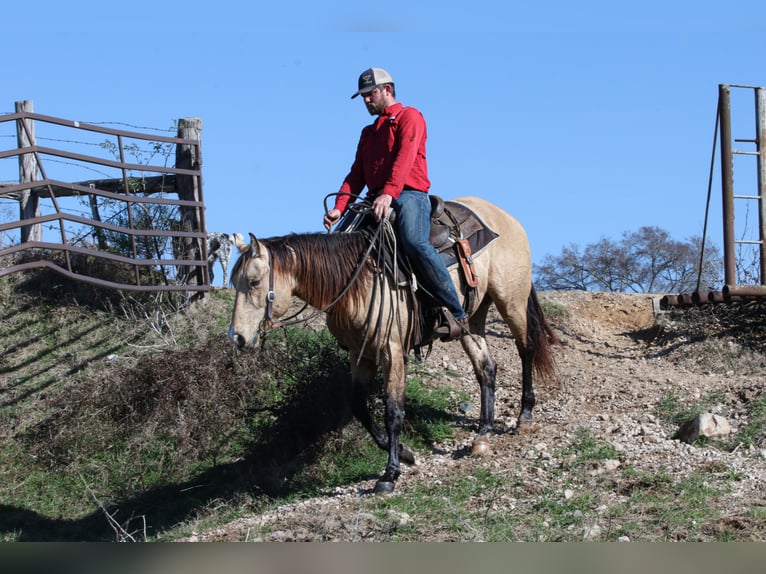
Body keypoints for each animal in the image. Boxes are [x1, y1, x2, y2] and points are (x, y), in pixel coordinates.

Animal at [228, 197, 560, 496]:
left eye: (254, 281)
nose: (237, 337)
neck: (356, 279)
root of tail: (504, 217)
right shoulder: (360, 354)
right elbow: (359, 406)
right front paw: (403, 452)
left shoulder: (393, 351)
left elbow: (393, 411)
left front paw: (390, 473)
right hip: (472, 318)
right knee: (486, 368)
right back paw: (483, 432)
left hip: (511, 301)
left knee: (526, 348)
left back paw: (525, 415)